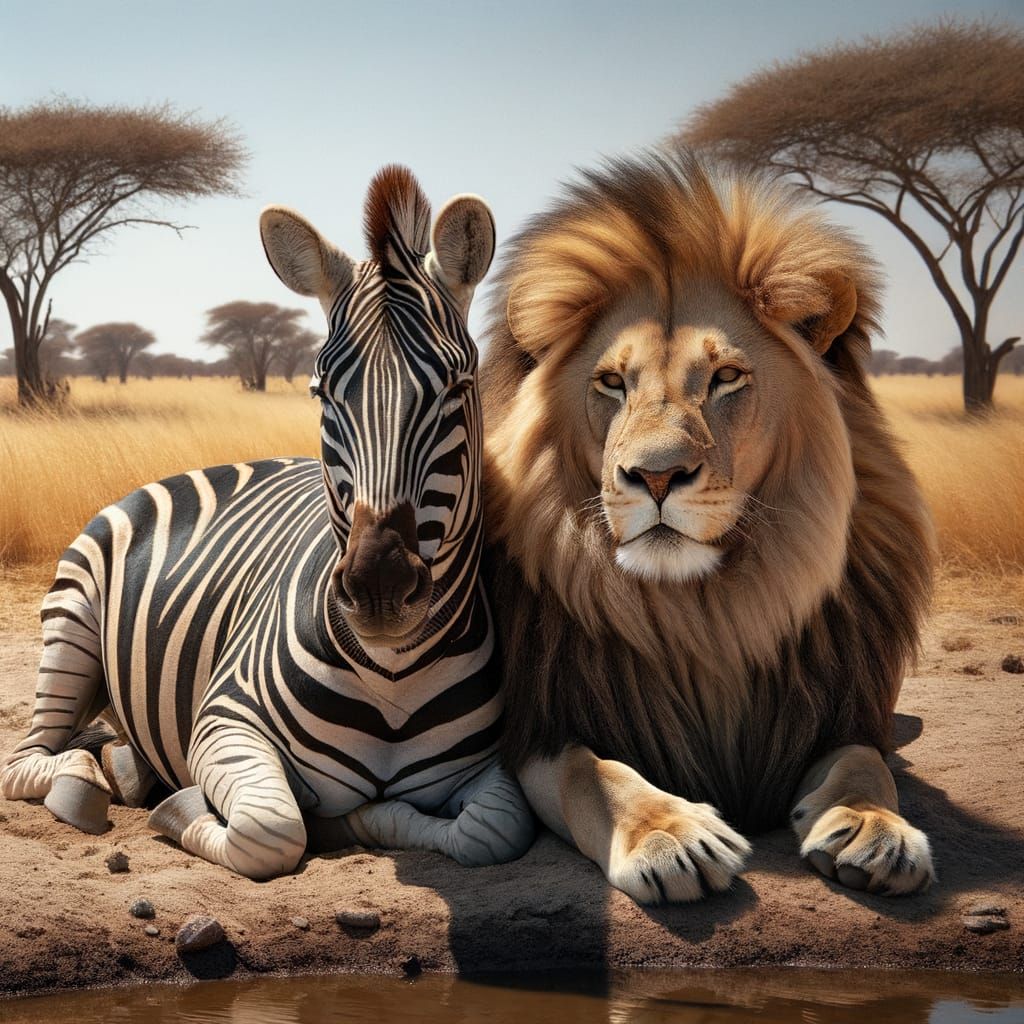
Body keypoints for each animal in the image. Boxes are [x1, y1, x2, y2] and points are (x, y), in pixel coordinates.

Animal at [0, 166, 535, 880]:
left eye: (458, 387)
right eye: (322, 392)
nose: (379, 588)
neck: (391, 673)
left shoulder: (488, 765)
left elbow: (493, 829)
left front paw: (355, 821)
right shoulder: (224, 721)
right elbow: (270, 829)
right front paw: (182, 810)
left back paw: (124, 764)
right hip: (71, 622)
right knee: (27, 758)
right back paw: (85, 781)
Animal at [480, 149, 936, 904]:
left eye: (725, 377)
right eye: (612, 383)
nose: (657, 476)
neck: (706, 610)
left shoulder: (837, 705)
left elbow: (865, 763)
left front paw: (875, 828)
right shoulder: (536, 725)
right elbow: (592, 773)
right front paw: (670, 835)